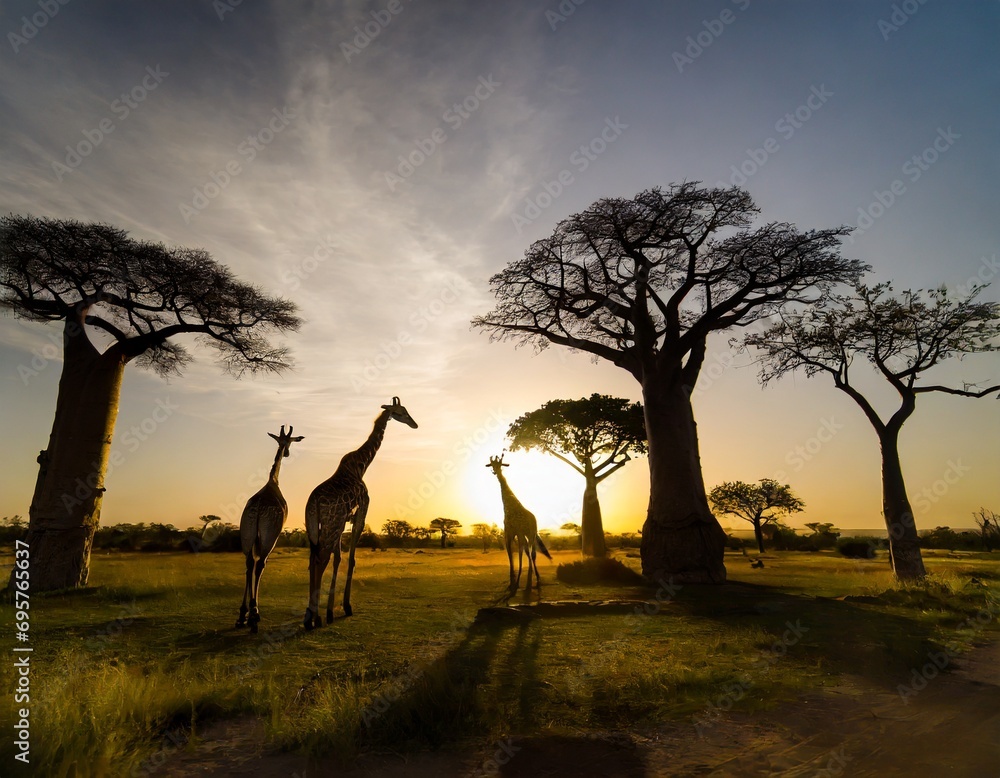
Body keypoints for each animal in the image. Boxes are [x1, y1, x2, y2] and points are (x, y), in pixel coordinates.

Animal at [236, 424, 302, 632]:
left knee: (249, 564)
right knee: (260, 565)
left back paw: (242, 614)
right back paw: (254, 615)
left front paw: (245, 614)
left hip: (246, 536)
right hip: (268, 537)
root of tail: (258, 508)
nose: (286, 452)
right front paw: (253, 613)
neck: (273, 481)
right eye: (288, 441)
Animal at [302, 398, 416, 628]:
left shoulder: (344, 520)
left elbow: (338, 559)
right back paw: (315, 618)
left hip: (315, 527)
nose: (414, 424)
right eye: (402, 412)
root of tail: (313, 502)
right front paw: (346, 607)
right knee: (320, 559)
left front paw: (330, 610)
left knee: (313, 559)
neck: (362, 465)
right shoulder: (361, 512)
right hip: (330, 525)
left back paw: (310, 615)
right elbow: (351, 559)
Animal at [486, 452, 556, 592]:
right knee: (528, 552)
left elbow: (518, 554)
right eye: (492, 464)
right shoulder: (510, 533)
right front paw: (513, 581)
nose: (495, 472)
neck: (510, 506)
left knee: (531, 553)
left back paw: (535, 578)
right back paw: (532, 575)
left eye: (500, 464)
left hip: (531, 533)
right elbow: (513, 554)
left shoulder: (516, 532)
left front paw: (516, 581)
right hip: (526, 535)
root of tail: (534, 518)